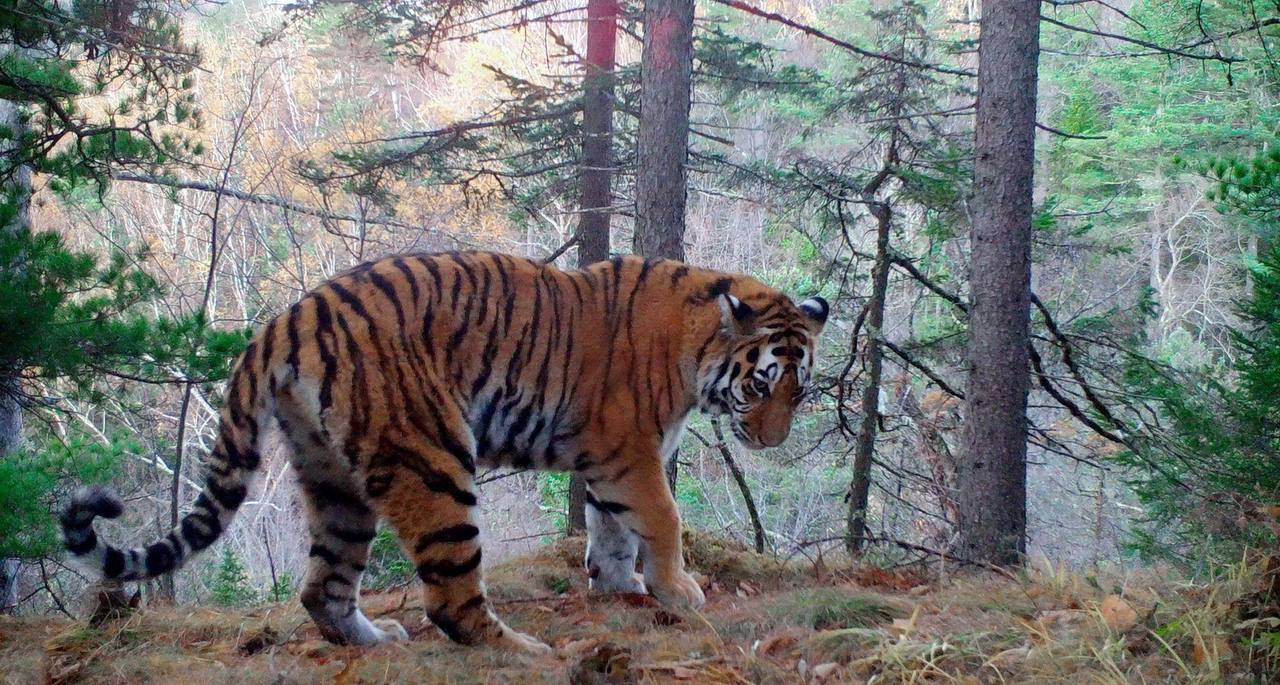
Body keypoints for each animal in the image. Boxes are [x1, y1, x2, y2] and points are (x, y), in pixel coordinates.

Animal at [60, 250, 829, 652]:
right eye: (762, 385)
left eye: (799, 391)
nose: (770, 441)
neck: (697, 347)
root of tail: (287, 318)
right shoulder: (627, 450)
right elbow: (662, 520)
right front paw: (680, 590)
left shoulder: (610, 460)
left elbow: (612, 530)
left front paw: (621, 588)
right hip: (433, 461)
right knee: (452, 600)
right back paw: (523, 651)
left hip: (332, 477)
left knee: (322, 586)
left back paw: (375, 641)